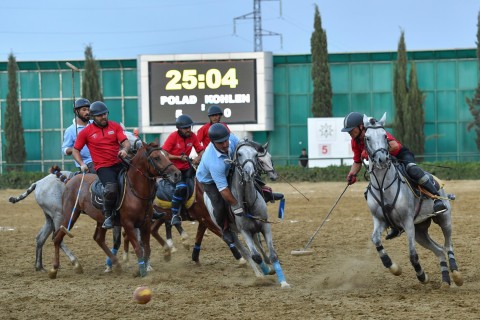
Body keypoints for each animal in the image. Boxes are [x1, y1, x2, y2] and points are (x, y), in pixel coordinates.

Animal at [48, 141, 181, 278]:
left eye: (166, 155)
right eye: (156, 157)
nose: (177, 174)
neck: (135, 192)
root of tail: (70, 180)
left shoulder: (145, 223)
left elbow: (147, 248)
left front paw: (143, 267)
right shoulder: (128, 224)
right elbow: (138, 248)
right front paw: (142, 271)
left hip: (100, 219)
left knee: (98, 238)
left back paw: (116, 264)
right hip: (70, 214)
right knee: (57, 238)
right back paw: (55, 269)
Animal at [366, 113, 464, 288]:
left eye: (385, 135)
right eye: (367, 138)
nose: (382, 159)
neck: (384, 186)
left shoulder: (407, 221)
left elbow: (412, 254)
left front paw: (422, 276)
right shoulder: (380, 220)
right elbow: (376, 239)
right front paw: (393, 267)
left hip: (444, 219)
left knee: (448, 244)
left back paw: (456, 274)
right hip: (420, 231)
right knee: (439, 250)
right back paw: (445, 280)